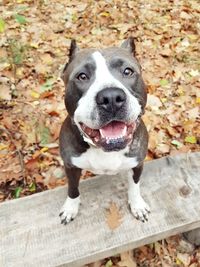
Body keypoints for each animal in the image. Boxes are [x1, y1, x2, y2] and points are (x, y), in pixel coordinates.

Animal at [58, 37, 149, 225]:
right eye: (82, 76)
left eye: (128, 71)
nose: (111, 97)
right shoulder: (70, 166)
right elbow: (73, 189)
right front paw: (70, 208)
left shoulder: (138, 163)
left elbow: (134, 185)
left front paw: (137, 205)